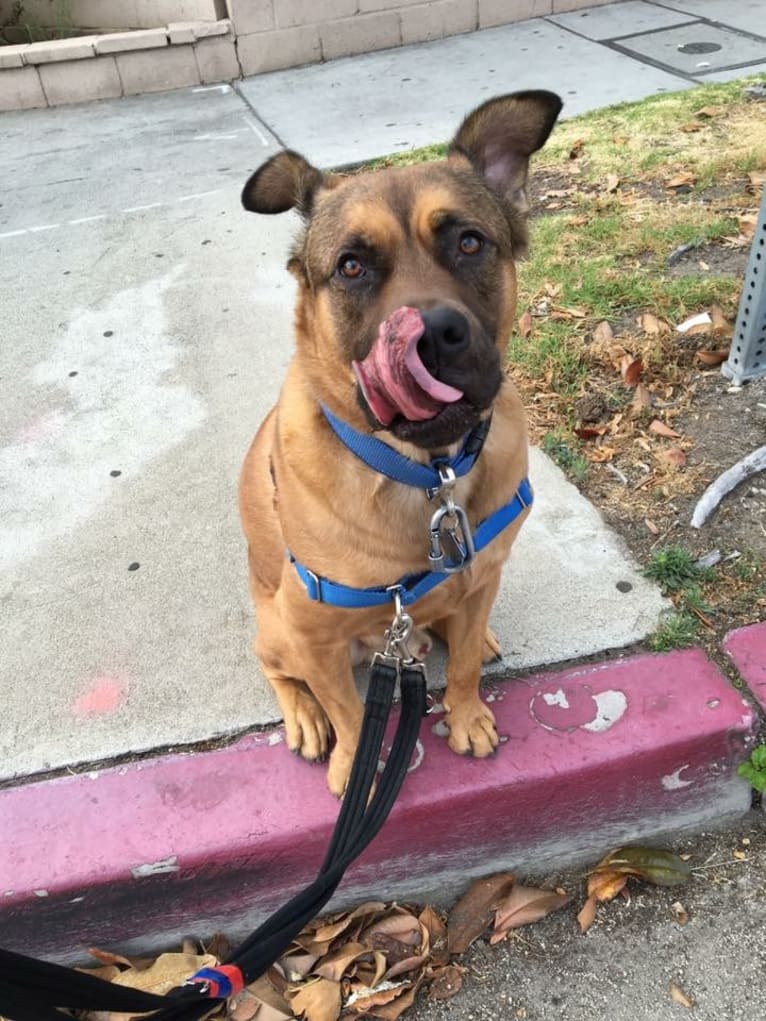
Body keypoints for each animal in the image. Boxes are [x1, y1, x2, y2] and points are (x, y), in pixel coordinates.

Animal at [240, 91, 563, 796]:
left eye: (469, 242)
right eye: (351, 266)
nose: (434, 334)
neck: (430, 475)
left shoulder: (484, 574)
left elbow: (464, 666)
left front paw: (466, 714)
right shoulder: (314, 632)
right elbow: (348, 710)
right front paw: (353, 763)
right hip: (276, 627)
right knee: (279, 672)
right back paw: (302, 716)